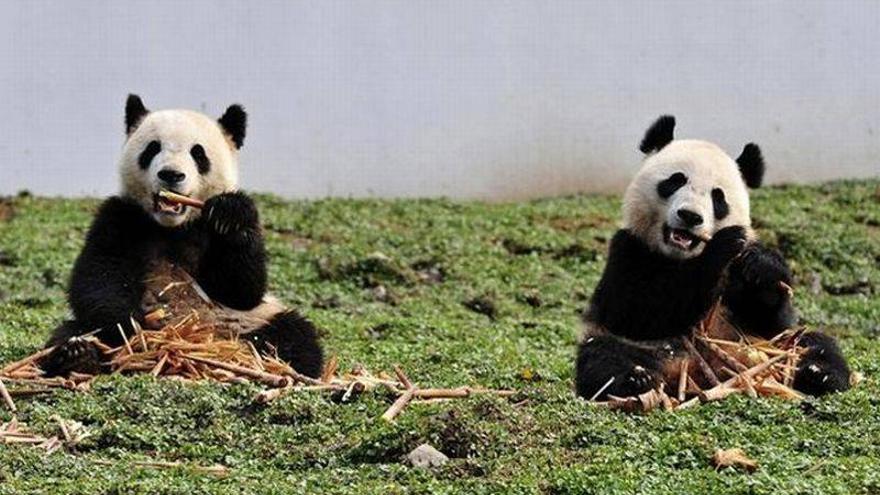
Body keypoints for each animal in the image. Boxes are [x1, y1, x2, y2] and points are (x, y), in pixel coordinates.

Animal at [39, 94, 323, 378]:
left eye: (198, 153)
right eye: (152, 148)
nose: (171, 174)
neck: (173, 227)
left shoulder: (217, 230)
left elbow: (242, 289)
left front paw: (228, 215)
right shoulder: (121, 217)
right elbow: (100, 276)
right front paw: (130, 331)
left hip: (252, 319)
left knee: (296, 335)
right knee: (71, 331)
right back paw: (77, 355)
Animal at [575, 115, 850, 400]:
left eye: (718, 197)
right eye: (675, 181)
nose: (690, 216)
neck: (682, 257)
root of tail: (699, 372)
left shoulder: (745, 296)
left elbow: (770, 317)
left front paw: (762, 266)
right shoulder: (628, 250)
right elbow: (636, 312)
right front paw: (722, 245)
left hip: (766, 344)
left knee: (816, 343)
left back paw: (819, 373)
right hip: (641, 347)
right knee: (603, 354)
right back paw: (635, 379)